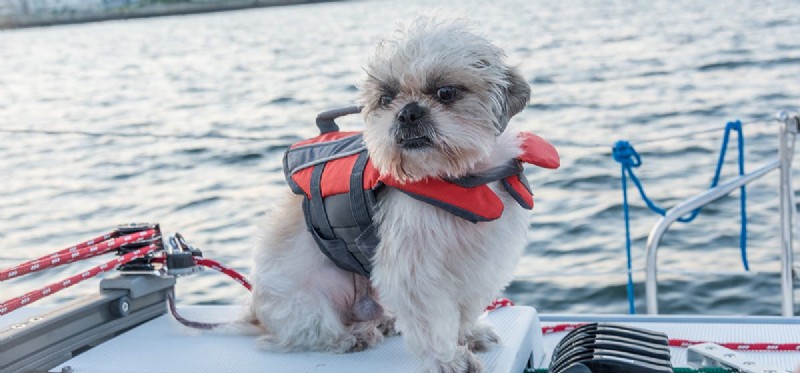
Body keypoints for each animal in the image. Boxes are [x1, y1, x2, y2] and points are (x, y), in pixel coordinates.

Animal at [238, 17, 556, 372]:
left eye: (446, 92)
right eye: (387, 98)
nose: (408, 112)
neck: (461, 177)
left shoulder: (479, 261)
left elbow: (466, 307)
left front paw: (470, 335)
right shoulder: (415, 271)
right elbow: (432, 322)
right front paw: (448, 360)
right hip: (307, 299)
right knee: (311, 331)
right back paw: (351, 337)